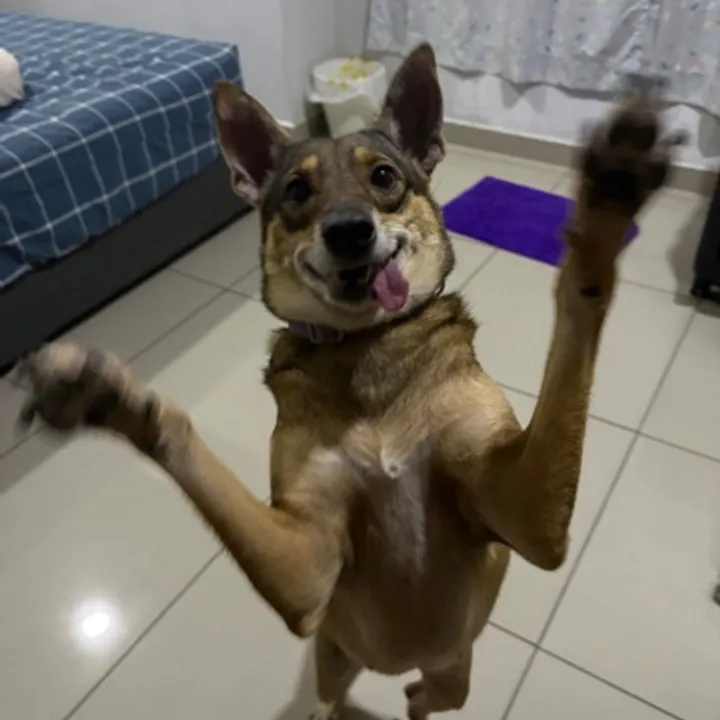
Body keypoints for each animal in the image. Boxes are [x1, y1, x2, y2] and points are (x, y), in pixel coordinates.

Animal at [14, 44, 682, 720]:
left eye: (384, 177)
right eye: (297, 191)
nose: (348, 231)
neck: (368, 347)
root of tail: (398, 666)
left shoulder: (530, 523)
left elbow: (576, 312)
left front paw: (608, 205)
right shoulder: (307, 569)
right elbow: (185, 445)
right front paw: (107, 397)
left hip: (454, 677)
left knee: (424, 699)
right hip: (332, 654)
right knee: (335, 694)